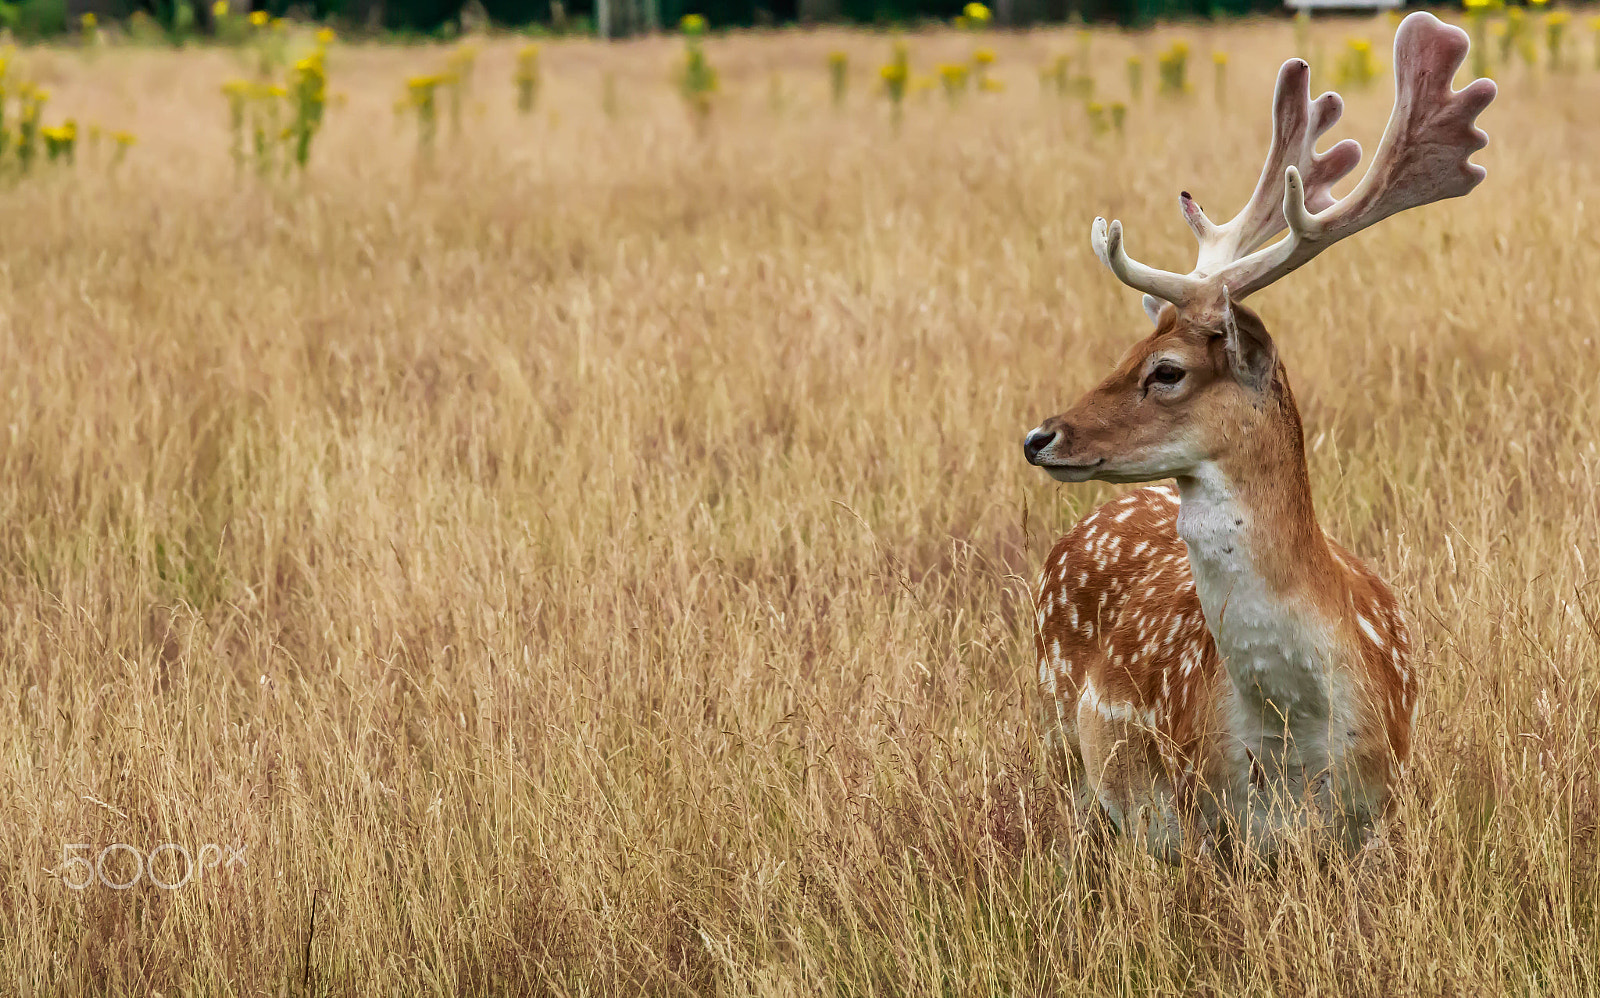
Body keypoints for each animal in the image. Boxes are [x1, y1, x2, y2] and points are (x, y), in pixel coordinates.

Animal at [1017, 11, 1491, 863]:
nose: (1040, 436)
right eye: (1126, 351)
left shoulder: (1384, 814)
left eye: (1166, 370)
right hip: (1056, 733)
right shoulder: (1198, 818)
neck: (1295, 744)